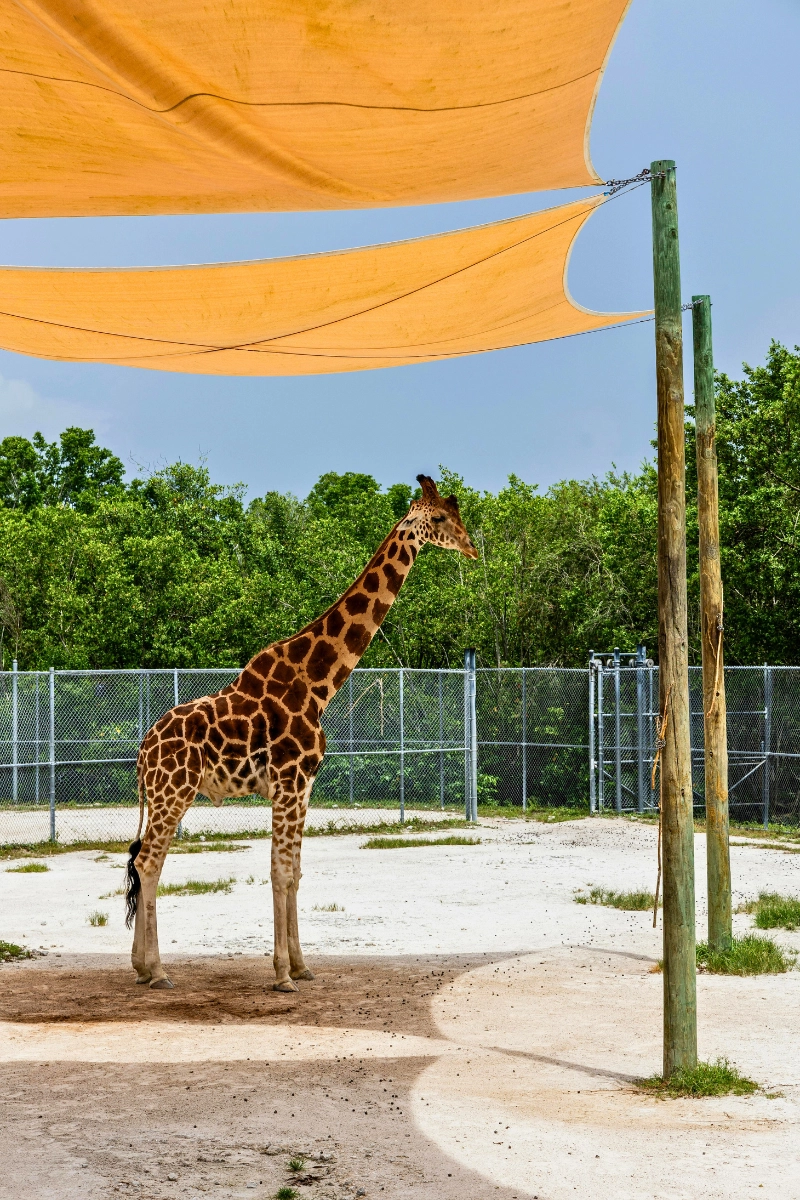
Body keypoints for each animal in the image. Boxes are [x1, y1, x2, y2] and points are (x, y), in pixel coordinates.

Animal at [125, 475, 478, 991]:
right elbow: (279, 872)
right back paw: (157, 971)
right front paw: (281, 975)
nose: (472, 547)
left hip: (165, 795)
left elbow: (296, 871)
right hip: (174, 792)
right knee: (149, 862)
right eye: (438, 518)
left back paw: (140, 967)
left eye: (457, 513)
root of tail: (143, 752)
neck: (318, 684)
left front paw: (301, 966)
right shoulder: (289, 782)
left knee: (145, 861)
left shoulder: (305, 785)